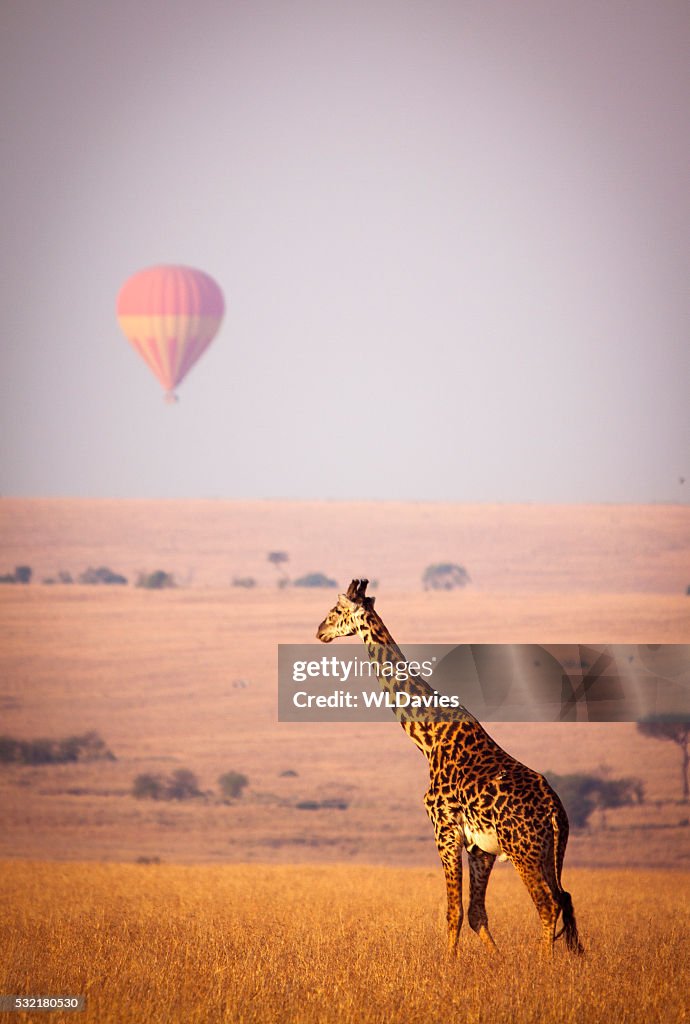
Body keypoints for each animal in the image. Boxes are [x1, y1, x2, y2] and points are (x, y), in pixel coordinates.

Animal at [315, 581, 581, 954]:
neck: (426, 736)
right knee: (565, 897)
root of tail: (554, 810)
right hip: (549, 851)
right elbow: (475, 913)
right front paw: (497, 961)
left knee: (547, 902)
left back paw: (546, 963)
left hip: (522, 851)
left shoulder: (444, 829)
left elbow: (452, 912)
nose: (319, 631)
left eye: (337, 610)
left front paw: (448, 965)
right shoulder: (479, 847)